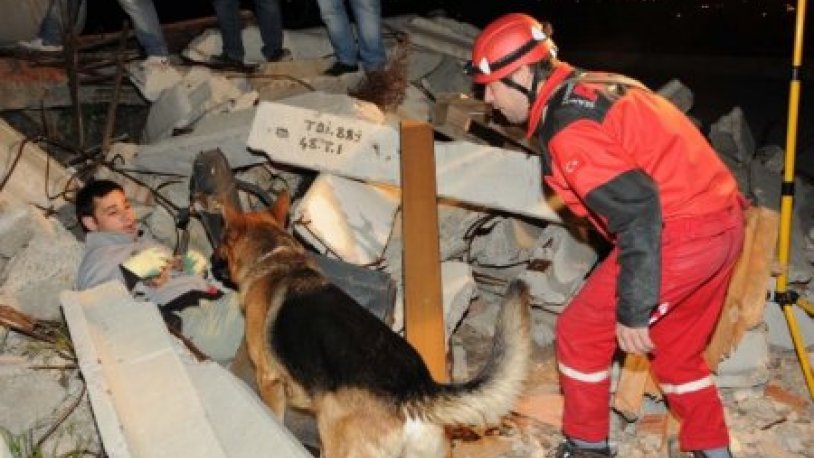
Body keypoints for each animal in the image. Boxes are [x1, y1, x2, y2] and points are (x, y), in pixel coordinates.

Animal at [217, 194, 536, 458]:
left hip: (338, 445)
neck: (275, 257)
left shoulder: (269, 381)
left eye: (222, 241)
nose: (213, 267)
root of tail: (413, 389)